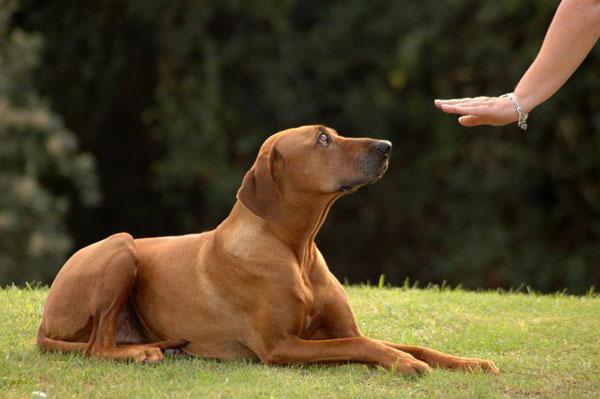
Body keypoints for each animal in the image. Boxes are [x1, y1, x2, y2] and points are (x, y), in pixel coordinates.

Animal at [35, 126, 500, 376]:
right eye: (323, 139)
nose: (386, 145)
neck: (297, 250)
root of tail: (44, 317)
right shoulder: (281, 347)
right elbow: (364, 346)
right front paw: (401, 363)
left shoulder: (336, 330)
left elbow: (410, 345)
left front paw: (470, 362)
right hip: (121, 246)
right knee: (97, 346)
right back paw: (139, 352)